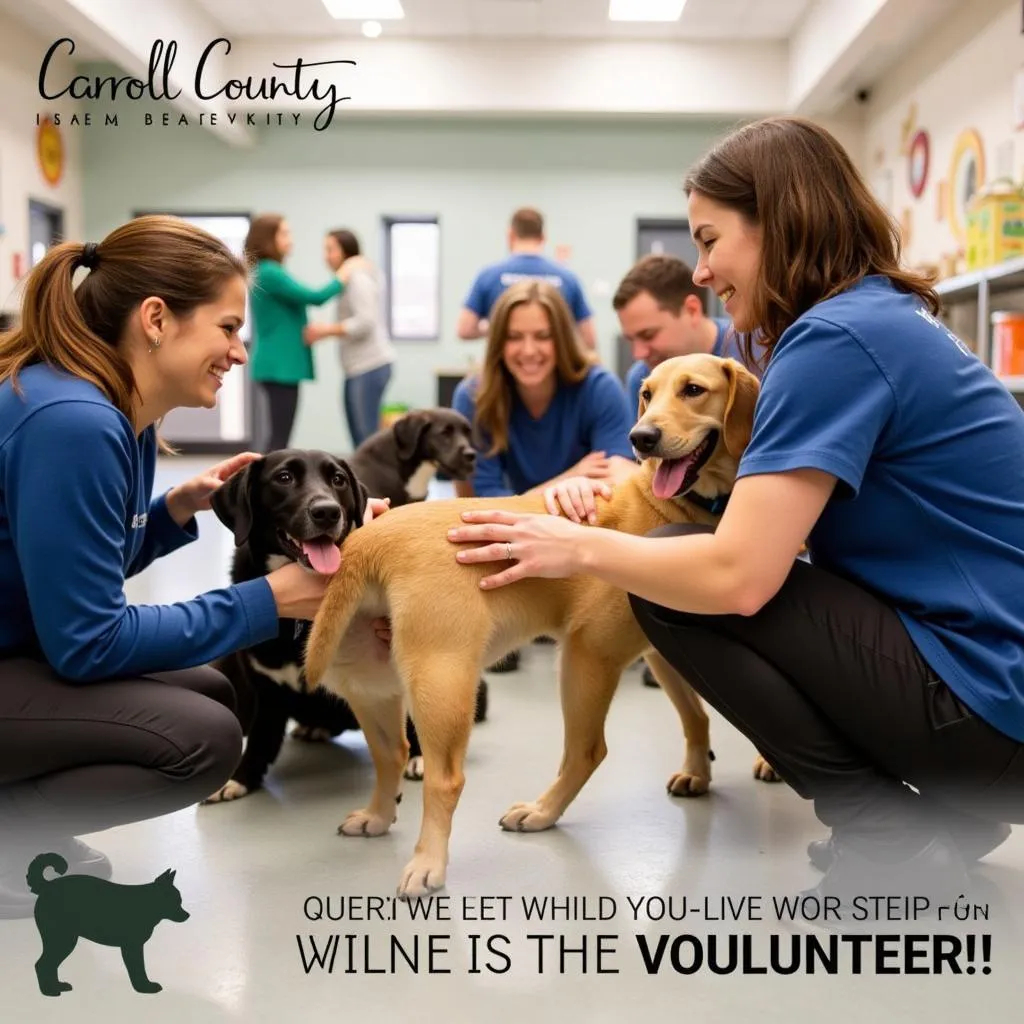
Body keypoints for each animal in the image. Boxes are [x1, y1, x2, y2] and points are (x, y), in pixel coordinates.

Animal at [307, 354, 770, 897]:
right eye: (646, 394)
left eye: (693, 390)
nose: (640, 438)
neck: (679, 506)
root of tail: (372, 541)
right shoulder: (603, 651)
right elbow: (660, 729)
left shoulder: (646, 651)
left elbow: (694, 718)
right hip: (440, 683)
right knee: (449, 772)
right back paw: (440, 848)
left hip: (391, 686)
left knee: (402, 757)